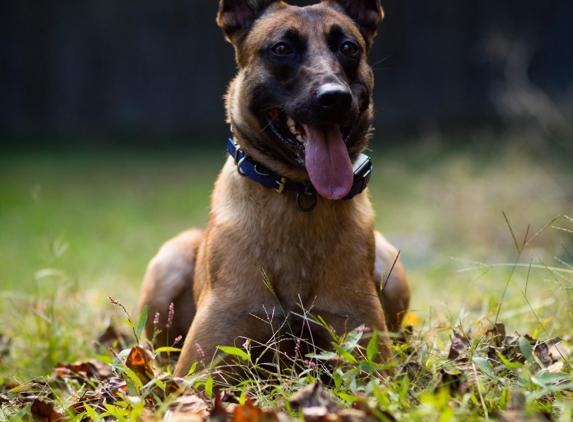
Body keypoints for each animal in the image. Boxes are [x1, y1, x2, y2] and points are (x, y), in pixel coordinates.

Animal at [141, 0, 414, 380]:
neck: (302, 193)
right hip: (168, 263)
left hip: (390, 265)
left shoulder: (369, 362)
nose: (335, 98)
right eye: (282, 49)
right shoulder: (202, 370)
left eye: (348, 48)